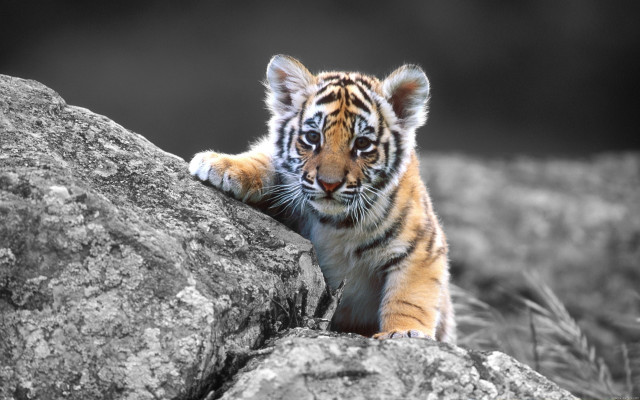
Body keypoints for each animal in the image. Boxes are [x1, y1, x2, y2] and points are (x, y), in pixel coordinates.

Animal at [189, 55, 455, 342]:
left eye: (362, 144)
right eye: (312, 137)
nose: (329, 183)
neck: (335, 223)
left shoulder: (422, 247)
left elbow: (410, 297)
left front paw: (404, 332)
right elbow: (264, 158)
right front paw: (221, 165)